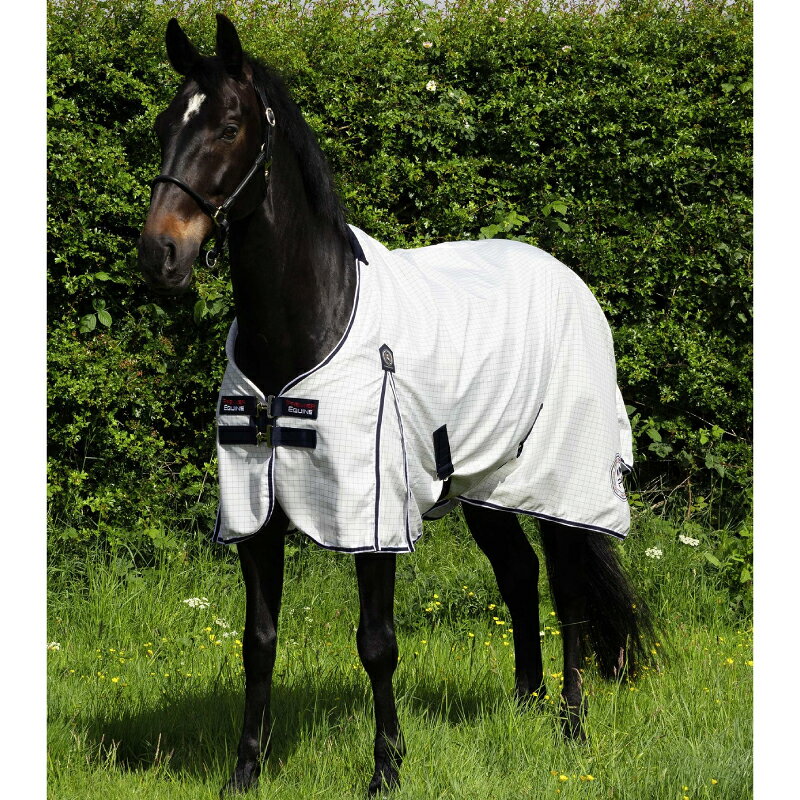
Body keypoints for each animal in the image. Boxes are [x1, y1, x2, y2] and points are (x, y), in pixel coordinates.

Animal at [138, 14, 654, 796]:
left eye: (228, 126)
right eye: (166, 125)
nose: (159, 256)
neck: (308, 322)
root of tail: (567, 278)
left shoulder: (371, 513)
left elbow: (377, 643)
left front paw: (385, 769)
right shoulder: (254, 515)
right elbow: (258, 642)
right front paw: (245, 772)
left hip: (561, 484)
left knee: (567, 591)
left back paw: (570, 727)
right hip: (485, 486)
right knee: (519, 577)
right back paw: (525, 702)